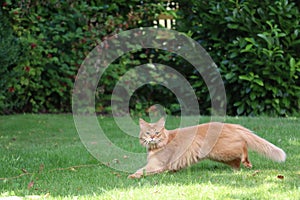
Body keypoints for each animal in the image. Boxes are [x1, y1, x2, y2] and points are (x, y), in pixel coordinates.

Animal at [128, 117, 286, 178]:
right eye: (147, 132)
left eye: (157, 132)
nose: (152, 138)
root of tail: (230, 124)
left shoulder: (156, 165)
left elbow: (140, 171)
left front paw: (131, 176)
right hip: (224, 156)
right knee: (237, 160)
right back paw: (238, 168)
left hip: (224, 150)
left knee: (243, 145)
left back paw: (246, 161)